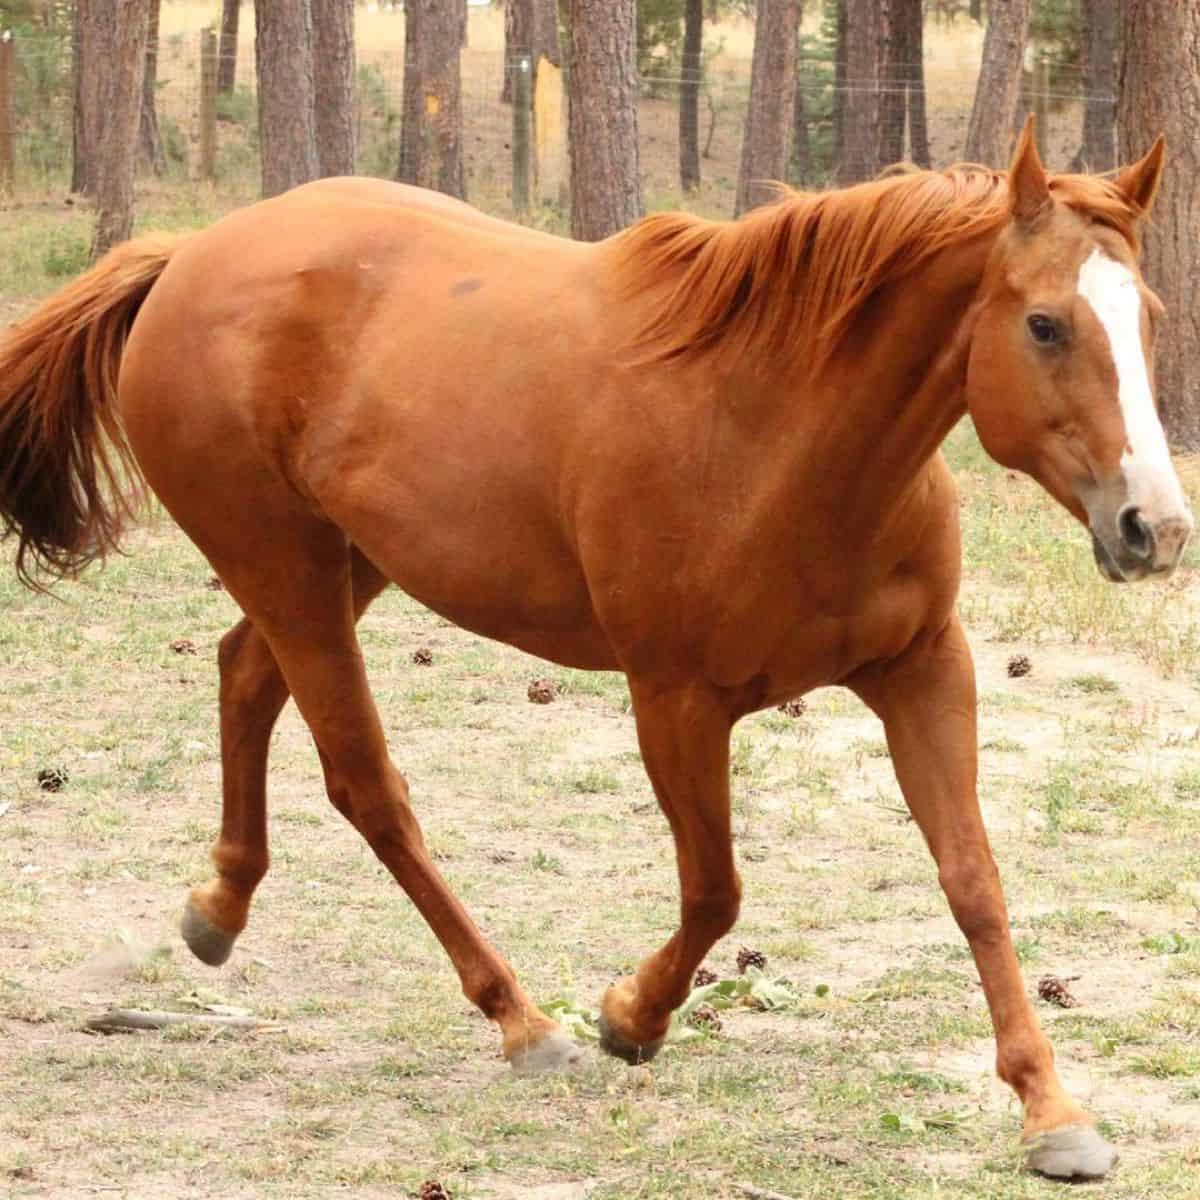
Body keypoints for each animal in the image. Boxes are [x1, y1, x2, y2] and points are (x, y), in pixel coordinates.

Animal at [0, 119, 1185, 1171]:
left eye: (1150, 317)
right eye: (1045, 325)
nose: (1156, 528)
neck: (774, 435)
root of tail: (191, 255)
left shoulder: (925, 669)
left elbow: (973, 880)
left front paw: (1053, 1111)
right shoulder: (675, 701)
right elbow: (716, 892)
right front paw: (629, 1018)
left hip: (345, 563)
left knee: (245, 678)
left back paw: (218, 911)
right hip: (287, 569)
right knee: (366, 785)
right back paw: (523, 1022)